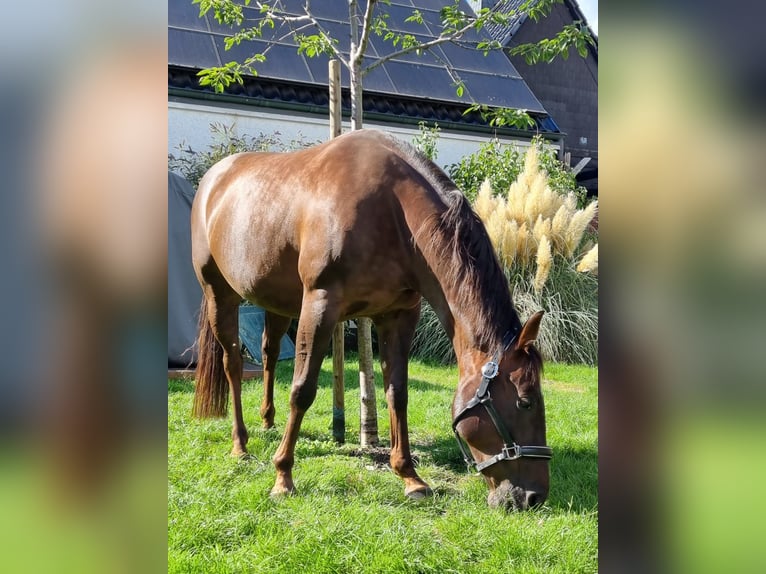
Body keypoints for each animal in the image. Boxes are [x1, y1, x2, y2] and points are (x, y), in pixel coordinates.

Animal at [192, 129, 552, 512]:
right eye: (525, 401)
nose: (533, 497)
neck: (394, 212)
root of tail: (213, 179)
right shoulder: (320, 304)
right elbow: (302, 389)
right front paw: (283, 476)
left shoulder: (398, 315)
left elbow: (397, 393)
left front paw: (410, 477)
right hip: (221, 295)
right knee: (232, 363)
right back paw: (240, 444)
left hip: (277, 303)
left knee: (269, 354)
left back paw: (267, 421)